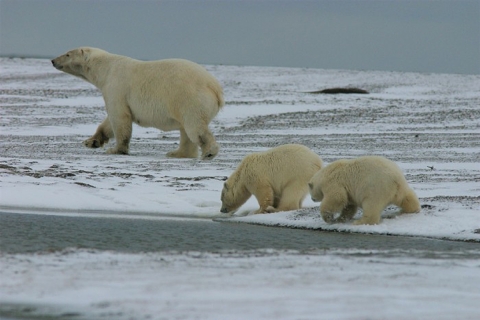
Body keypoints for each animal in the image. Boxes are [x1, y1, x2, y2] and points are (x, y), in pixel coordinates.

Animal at [51, 47, 224, 159]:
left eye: (67, 54)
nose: (52, 60)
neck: (106, 68)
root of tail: (215, 87)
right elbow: (108, 122)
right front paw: (91, 141)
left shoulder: (116, 87)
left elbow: (119, 118)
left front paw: (116, 150)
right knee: (186, 131)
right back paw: (176, 153)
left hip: (188, 98)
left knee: (194, 127)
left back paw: (209, 152)